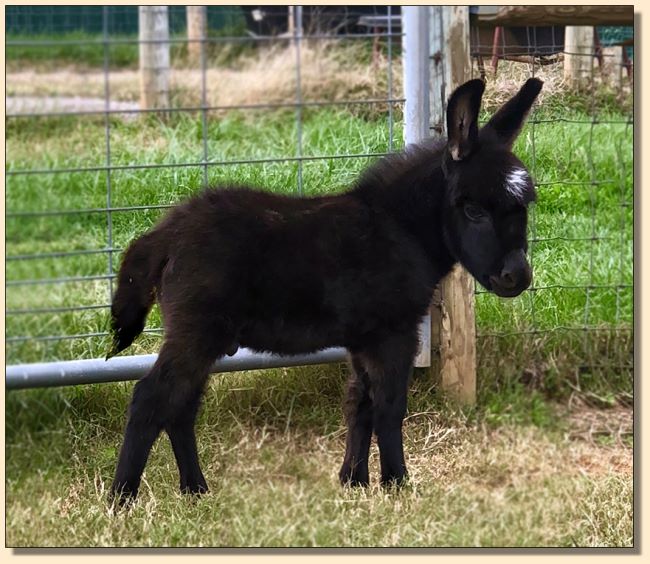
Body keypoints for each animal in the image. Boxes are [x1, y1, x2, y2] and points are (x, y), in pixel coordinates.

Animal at [110, 76, 540, 502]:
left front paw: (354, 480)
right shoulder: (394, 333)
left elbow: (359, 403)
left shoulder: (363, 339)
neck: (401, 229)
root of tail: (165, 234)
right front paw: (397, 484)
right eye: (474, 210)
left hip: (204, 338)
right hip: (196, 332)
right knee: (151, 397)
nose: (517, 277)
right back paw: (122, 498)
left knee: (181, 406)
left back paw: (195, 490)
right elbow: (389, 407)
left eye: (525, 207)